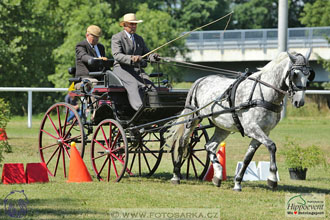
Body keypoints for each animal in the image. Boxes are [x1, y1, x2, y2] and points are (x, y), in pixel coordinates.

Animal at [168, 49, 314, 191]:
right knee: (183, 142)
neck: (264, 94)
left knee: (209, 146)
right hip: (192, 119)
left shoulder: (263, 132)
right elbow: (272, 146)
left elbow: (248, 158)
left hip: (223, 127)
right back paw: (176, 176)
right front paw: (272, 179)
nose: (299, 102)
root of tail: (200, 80)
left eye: (309, 75)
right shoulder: (252, 128)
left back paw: (218, 176)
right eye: (295, 74)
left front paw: (237, 183)